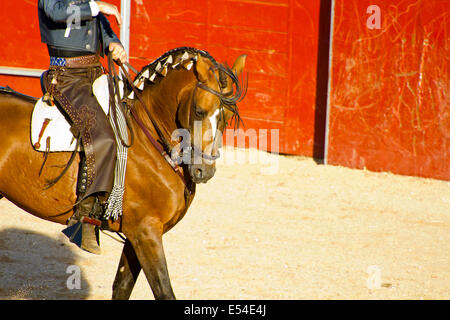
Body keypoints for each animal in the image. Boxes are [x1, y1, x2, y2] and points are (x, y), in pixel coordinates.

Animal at [0, 47, 248, 300]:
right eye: (199, 111)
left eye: (228, 116)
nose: (204, 170)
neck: (148, 142)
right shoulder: (146, 232)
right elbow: (164, 290)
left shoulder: (136, 236)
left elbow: (122, 286)